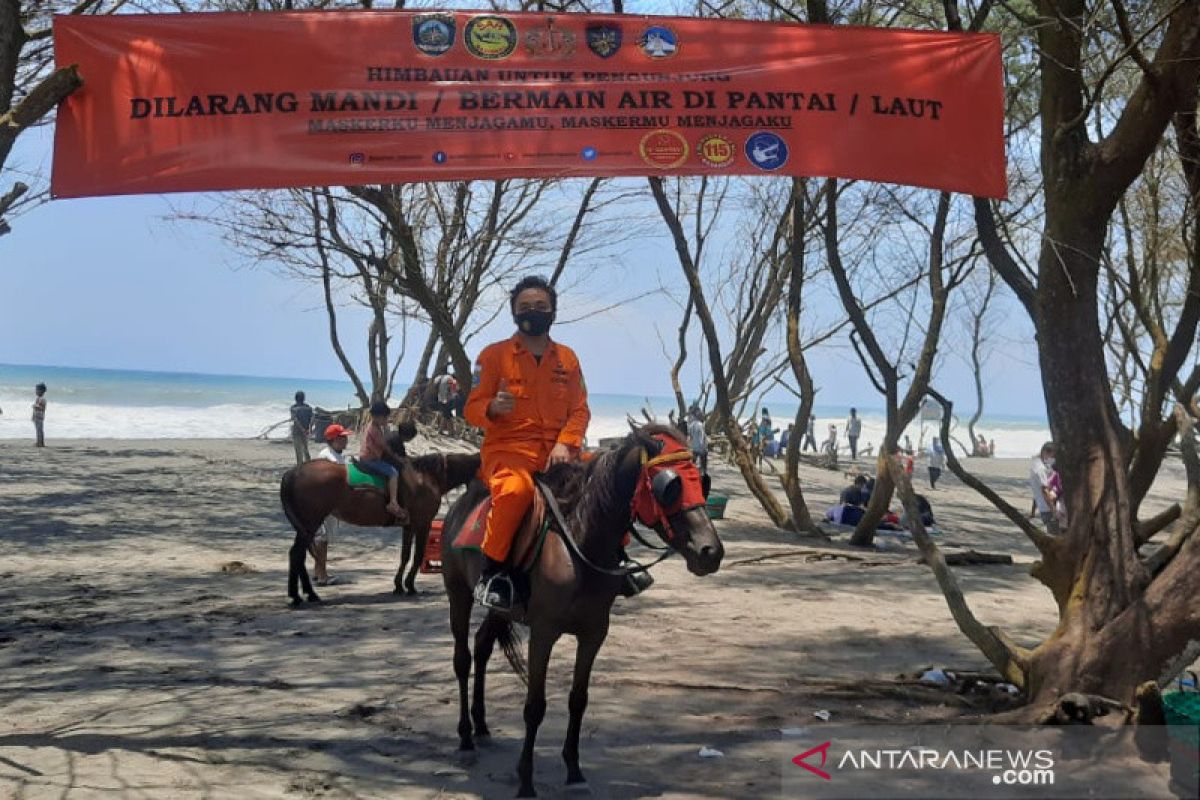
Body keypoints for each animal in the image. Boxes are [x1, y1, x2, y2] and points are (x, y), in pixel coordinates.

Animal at [278, 431, 480, 606]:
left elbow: (405, 555)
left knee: (298, 555)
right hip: (310, 524)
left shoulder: (409, 526)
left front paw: (399, 585)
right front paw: (410, 586)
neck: (426, 478)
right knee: (297, 554)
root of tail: (292, 473)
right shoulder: (423, 523)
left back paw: (305, 594)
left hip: (305, 527)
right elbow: (417, 556)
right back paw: (302, 595)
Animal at [441, 422, 720, 796]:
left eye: (700, 482)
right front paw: (526, 780)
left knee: (483, 645)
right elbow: (535, 706)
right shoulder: (543, 634)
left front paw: (574, 770)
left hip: (499, 610)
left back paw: (482, 725)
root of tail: (462, 505)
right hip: (457, 593)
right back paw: (466, 737)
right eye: (670, 486)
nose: (710, 551)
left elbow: (578, 699)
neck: (580, 543)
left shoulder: (594, 634)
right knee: (463, 659)